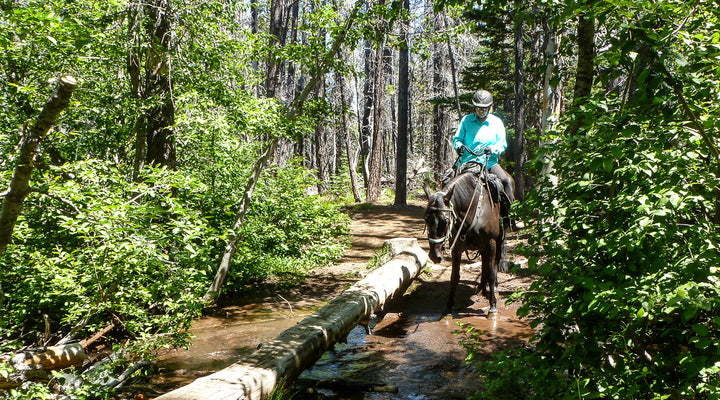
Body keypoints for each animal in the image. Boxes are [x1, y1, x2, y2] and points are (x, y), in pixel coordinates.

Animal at [423, 170, 506, 318]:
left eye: (445, 220)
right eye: (426, 219)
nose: (435, 255)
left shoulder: (491, 243)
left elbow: (491, 273)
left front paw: (493, 307)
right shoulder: (456, 248)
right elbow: (454, 277)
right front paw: (448, 307)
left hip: (498, 242)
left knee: (494, 264)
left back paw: (492, 289)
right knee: (484, 263)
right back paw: (482, 288)